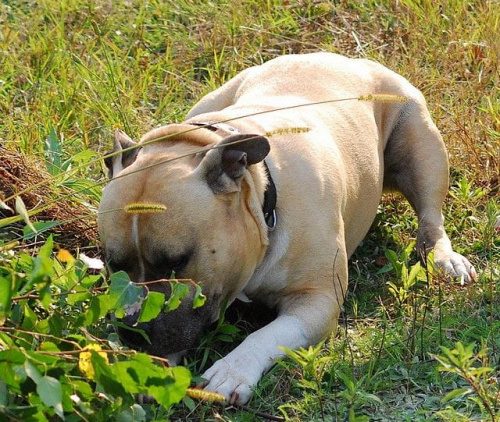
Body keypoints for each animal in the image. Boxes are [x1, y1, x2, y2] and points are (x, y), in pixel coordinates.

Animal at [98, 52, 476, 406]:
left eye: (177, 261)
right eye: (114, 264)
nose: (132, 332)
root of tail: (346, 59)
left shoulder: (317, 300)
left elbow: (267, 334)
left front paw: (234, 369)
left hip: (420, 144)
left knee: (431, 218)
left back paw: (446, 259)